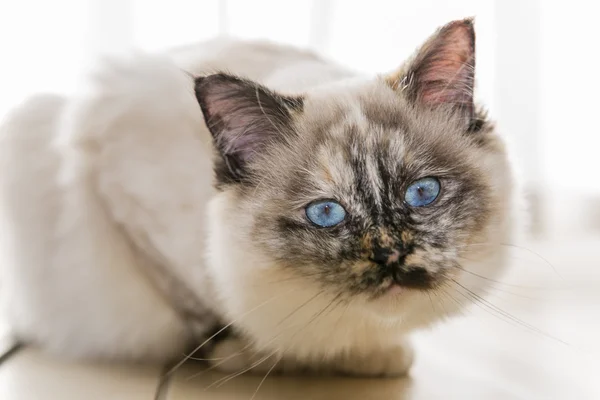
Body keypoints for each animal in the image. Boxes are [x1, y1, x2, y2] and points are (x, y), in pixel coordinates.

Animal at [0, 18, 516, 376]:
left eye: (421, 193)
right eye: (326, 213)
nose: (389, 254)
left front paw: (373, 354)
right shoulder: (132, 211)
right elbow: (211, 312)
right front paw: (246, 354)